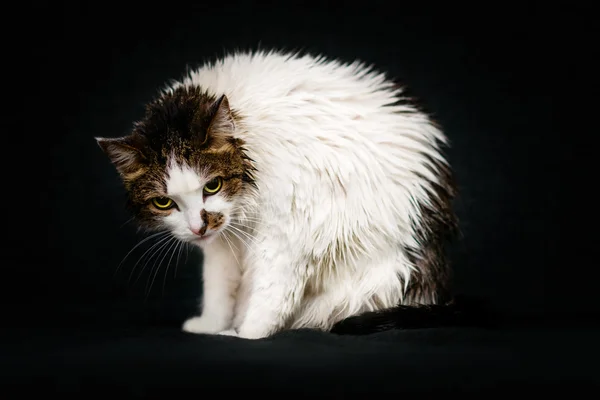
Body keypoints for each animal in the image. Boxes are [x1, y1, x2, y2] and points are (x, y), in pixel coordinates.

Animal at [97, 48, 464, 340]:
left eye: (212, 186)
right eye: (164, 202)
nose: (199, 227)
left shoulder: (289, 229)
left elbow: (271, 293)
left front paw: (245, 334)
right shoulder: (224, 243)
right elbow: (217, 287)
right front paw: (211, 326)